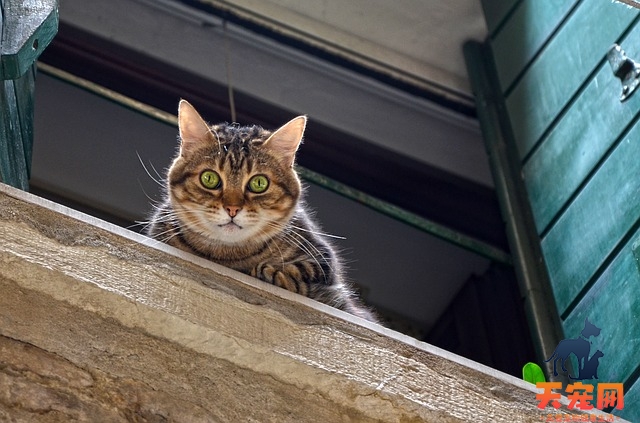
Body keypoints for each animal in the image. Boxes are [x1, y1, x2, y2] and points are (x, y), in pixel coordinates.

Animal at [144, 101, 380, 322]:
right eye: (209, 178)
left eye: (259, 183)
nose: (232, 208)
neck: (228, 258)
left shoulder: (322, 258)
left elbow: (303, 271)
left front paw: (274, 273)